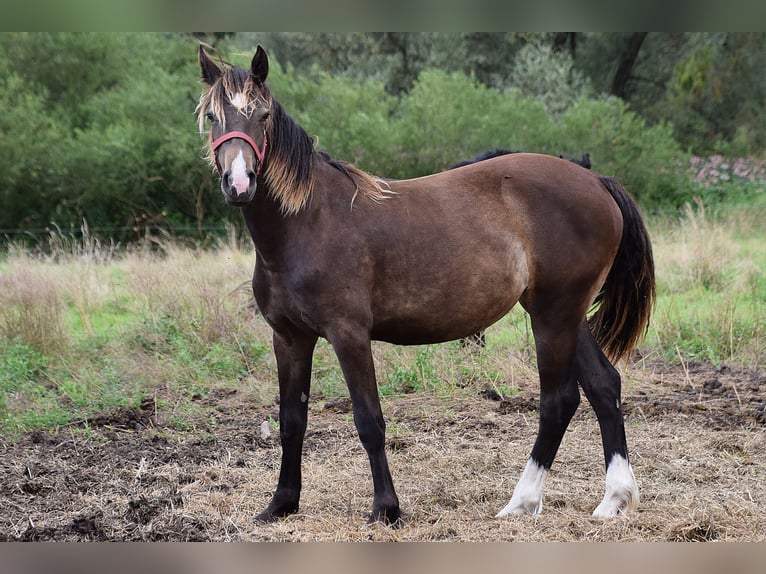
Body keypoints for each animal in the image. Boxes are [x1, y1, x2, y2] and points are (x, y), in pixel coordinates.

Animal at [197, 45, 655, 525]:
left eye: (263, 114)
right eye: (212, 116)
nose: (240, 183)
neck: (307, 222)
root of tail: (596, 181)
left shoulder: (348, 335)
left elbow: (369, 420)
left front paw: (386, 508)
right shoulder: (289, 338)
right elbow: (291, 420)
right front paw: (281, 503)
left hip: (554, 316)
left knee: (558, 400)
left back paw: (522, 501)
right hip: (565, 315)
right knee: (604, 386)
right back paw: (614, 499)